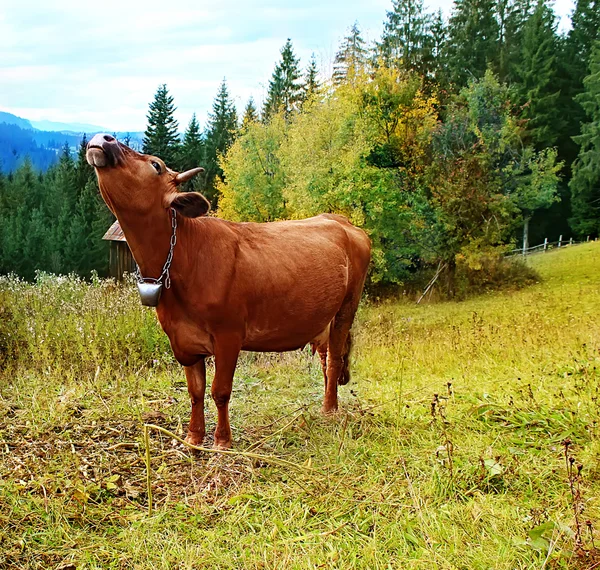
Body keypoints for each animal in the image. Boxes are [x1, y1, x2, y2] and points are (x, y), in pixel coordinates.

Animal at [87, 133, 372, 448]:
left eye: (156, 165)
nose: (104, 138)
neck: (184, 257)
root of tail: (342, 221)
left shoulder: (229, 334)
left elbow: (220, 390)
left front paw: (222, 441)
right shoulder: (181, 340)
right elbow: (195, 391)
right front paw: (194, 437)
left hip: (347, 306)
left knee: (334, 358)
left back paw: (330, 410)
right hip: (323, 317)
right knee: (325, 357)